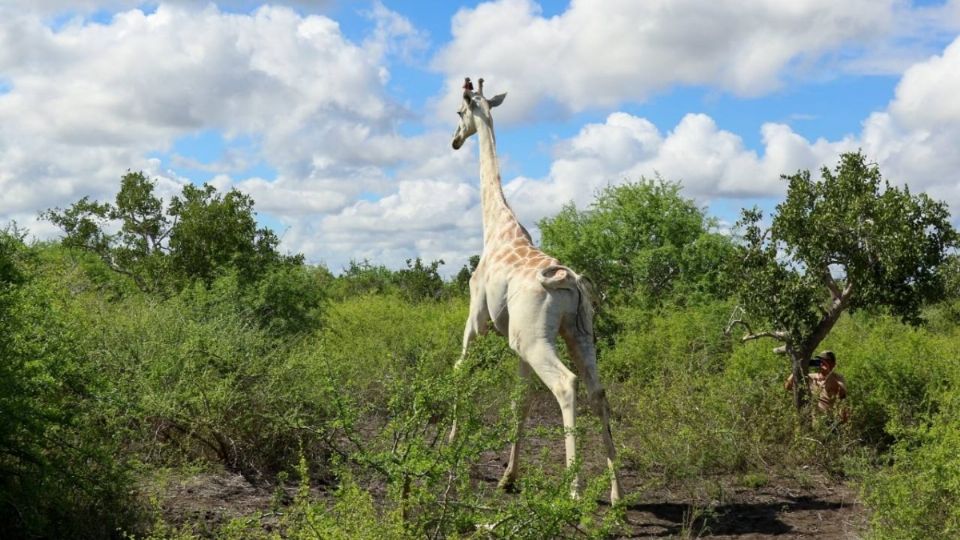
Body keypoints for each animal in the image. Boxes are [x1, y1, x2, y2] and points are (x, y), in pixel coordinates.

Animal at [450, 80, 624, 502]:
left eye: (459, 113)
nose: (455, 141)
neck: (496, 226)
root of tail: (570, 281)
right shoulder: (515, 344)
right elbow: (520, 401)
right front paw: (508, 477)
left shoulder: (477, 320)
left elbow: (460, 368)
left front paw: (450, 446)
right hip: (577, 332)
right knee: (598, 390)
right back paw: (616, 495)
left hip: (534, 338)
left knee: (566, 385)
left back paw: (574, 492)